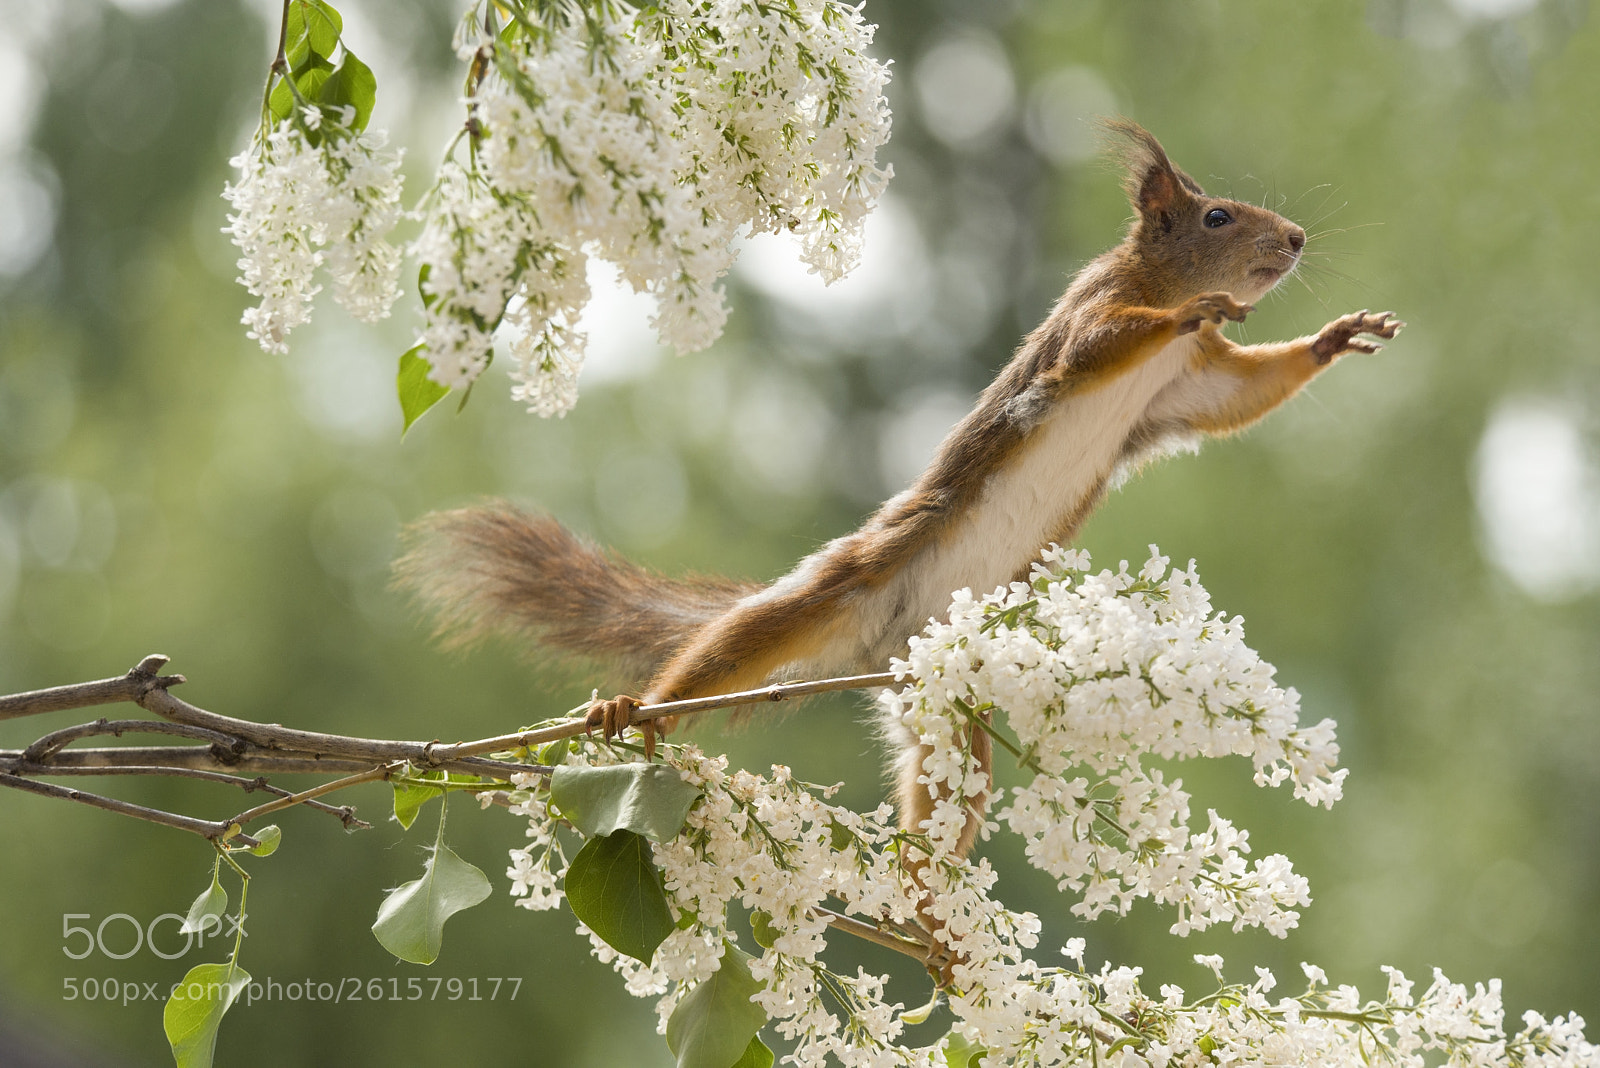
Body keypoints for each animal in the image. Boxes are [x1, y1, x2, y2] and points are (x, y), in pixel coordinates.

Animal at [396, 120, 1401, 863]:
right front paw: (1199, 305)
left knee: (943, 801)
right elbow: (1110, 340)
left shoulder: (1186, 388)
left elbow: (1241, 394)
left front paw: (1332, 338)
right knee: (731, 650)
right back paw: (630, 713)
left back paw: (932, 916)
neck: (1152, 283)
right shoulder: (1091, 321)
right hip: (846, 583)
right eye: (1218, 217)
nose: (1295, 240)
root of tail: (896, 647)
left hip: (947, 715)